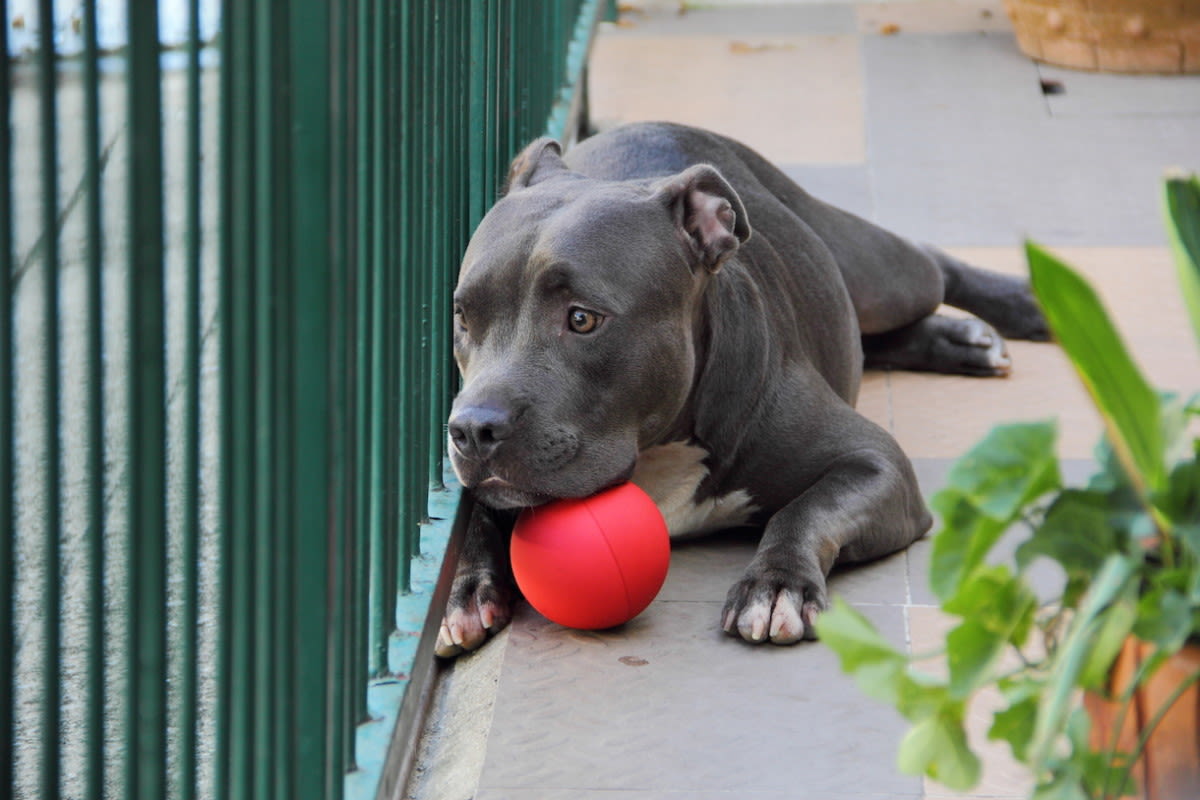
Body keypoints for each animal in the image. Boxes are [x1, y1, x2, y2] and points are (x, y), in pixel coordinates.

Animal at [436, 118, 1046, 657]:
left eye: (582, 319)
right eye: (463, 317)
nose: (472, 429)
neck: (661, 450)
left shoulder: (877, 462)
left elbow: (805, 510)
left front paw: (777, 586)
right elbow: (470, 516)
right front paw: (464, 590)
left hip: (880, 274)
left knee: (930, 265)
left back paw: (1025, 305)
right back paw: (962, 340)